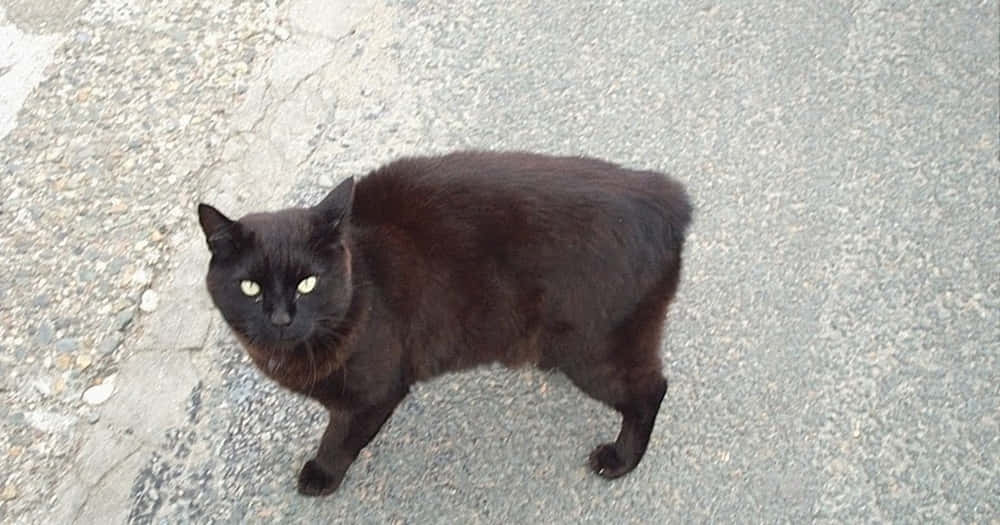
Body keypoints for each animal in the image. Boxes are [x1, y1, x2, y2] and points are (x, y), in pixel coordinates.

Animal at [199, 151, 692, 496]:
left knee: (651, 390)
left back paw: (620, 459)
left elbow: (339, 440)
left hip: (596, 351)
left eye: (307, 283)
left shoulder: (375, 394)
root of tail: (665, 195)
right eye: (250, 287)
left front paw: (320, 476)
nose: (281, 318)